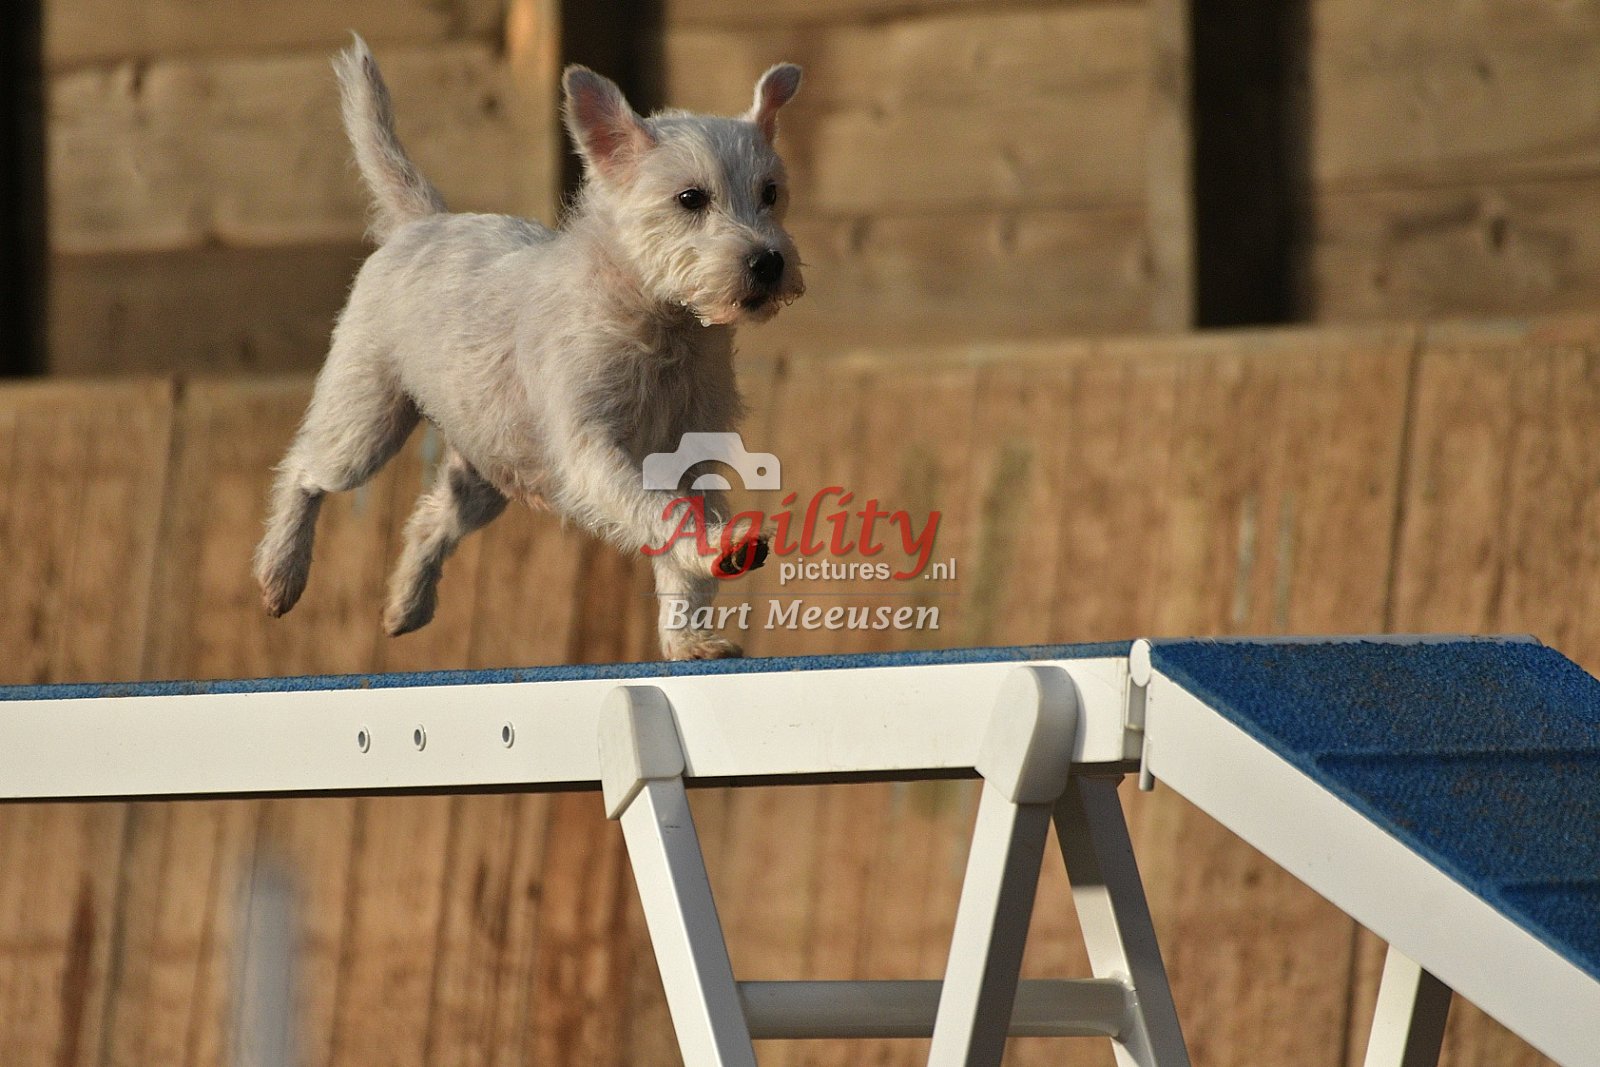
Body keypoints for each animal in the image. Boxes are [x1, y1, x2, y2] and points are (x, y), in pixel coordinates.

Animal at [253, 36, 803, 660]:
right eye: (690, 198)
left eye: (770, 194)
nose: (768, 261)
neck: (661, 324)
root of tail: (420, 223)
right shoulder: (593, 454)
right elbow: (657, 512)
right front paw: (713, 552)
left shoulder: (687, 456)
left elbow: (679, 555)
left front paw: (688, 639)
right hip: (365, 422)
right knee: (304, 470)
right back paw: (281, 572)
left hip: (488, 467)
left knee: (433, 518)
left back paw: (405, 605)